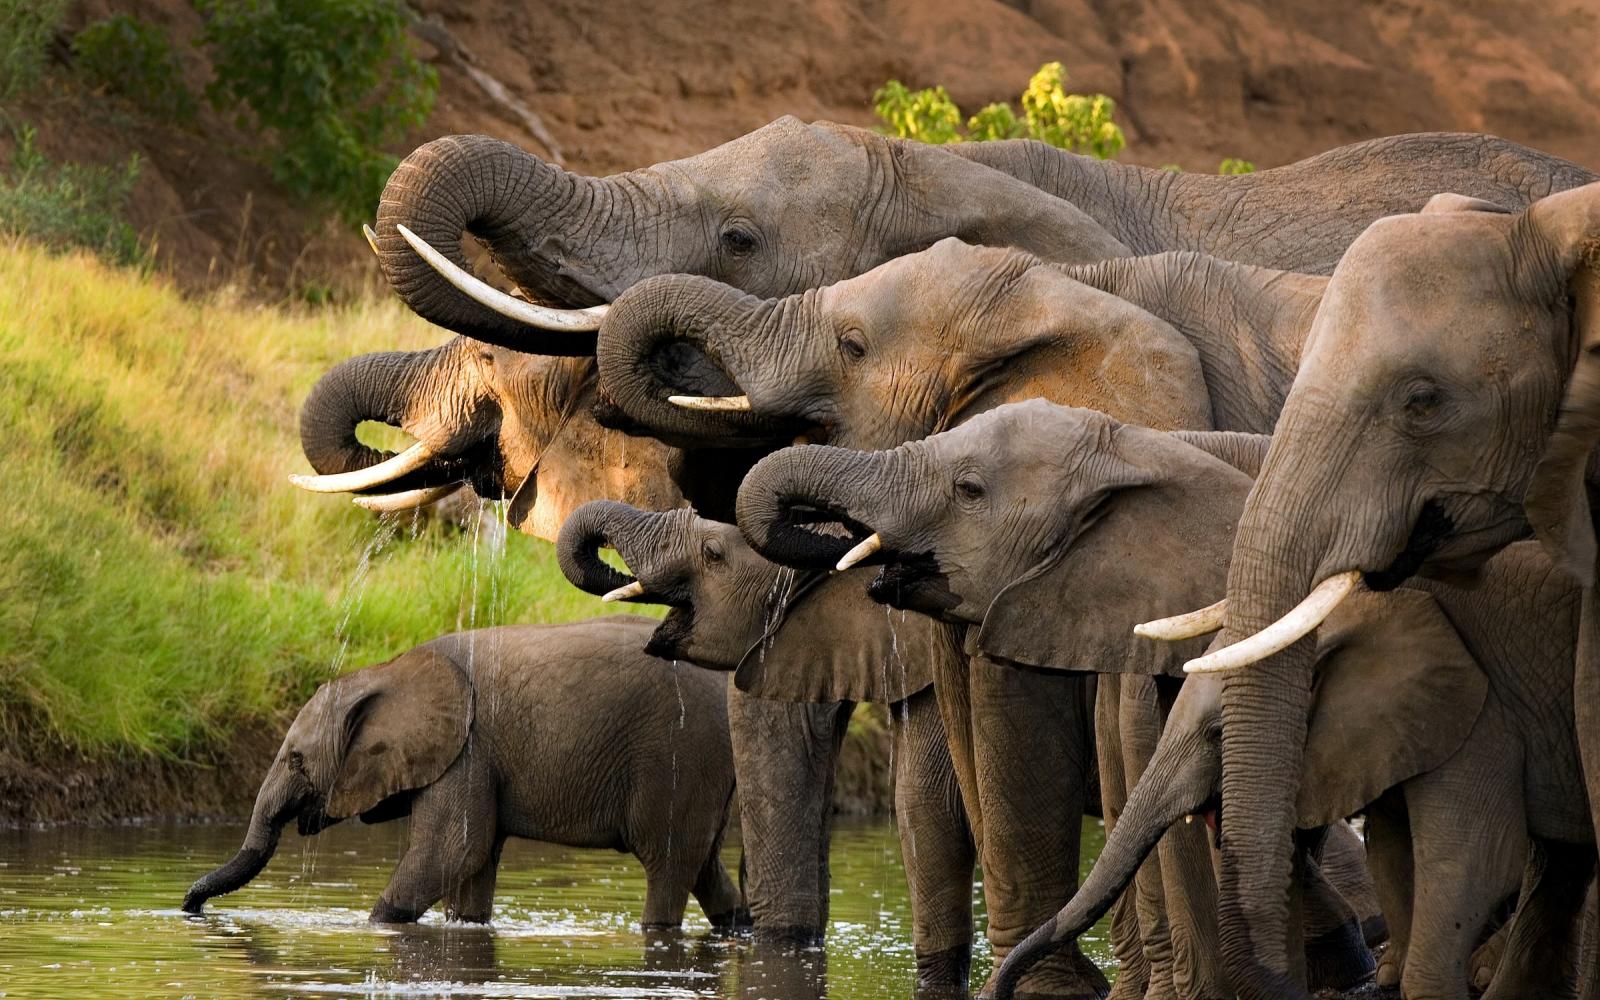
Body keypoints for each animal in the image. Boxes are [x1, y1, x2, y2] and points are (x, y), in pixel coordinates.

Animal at [180, 617, 742, 928]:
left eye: (296, 759)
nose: (189, 906)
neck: (388, 670)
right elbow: (473, 863)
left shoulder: (467, 751)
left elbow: (452, 851)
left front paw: (373, 925)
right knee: (705, 867)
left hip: (681, 757)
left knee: (668, 866)